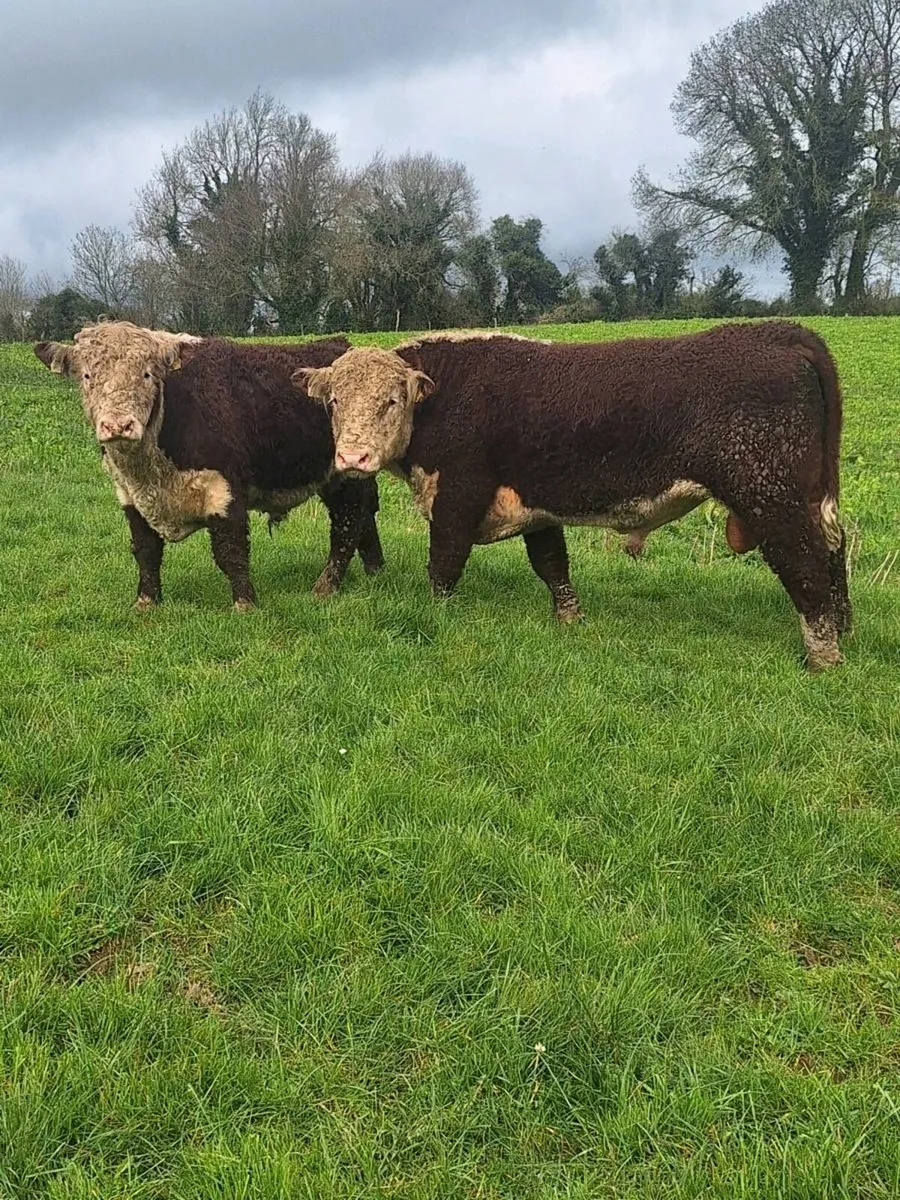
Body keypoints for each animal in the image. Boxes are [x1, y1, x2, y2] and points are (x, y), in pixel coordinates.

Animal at [34, 322, 384, 611]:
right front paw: (145, 603)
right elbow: (146, 551)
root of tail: (341, 345)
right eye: (87, 376)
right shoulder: (129, 495)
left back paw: (326, 587)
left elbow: (231, 552)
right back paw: (375, 571)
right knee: (364, 520)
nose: (118, 425)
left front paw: (244, 604)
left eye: (147, 374)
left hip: (347, 476)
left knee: (347, 527)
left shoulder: (225, 489)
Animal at [292, 324, 851, 671]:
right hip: (809, 499)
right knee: (834, 551)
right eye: (334, 401)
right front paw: (570, 619)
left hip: (770, 497)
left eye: (390, 401)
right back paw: (844, 630)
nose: (353, 457)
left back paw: (822, 658)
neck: (445, 397)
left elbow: (444, 566)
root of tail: (778, 332)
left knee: (805, 566)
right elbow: (552, 565)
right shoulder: (538, 507)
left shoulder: (457, 498)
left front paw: (437, 618)